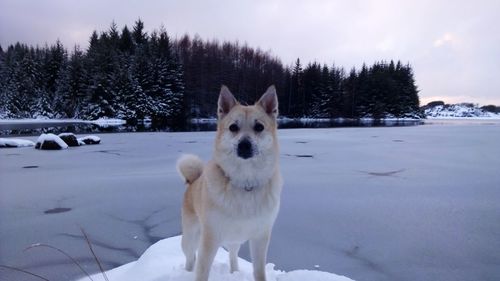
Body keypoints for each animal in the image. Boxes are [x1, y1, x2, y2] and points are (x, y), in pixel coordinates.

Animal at [178, 85, 284, 280]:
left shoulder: (261, 237)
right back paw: (186, 272)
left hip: (234, 239)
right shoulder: (210, 238)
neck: (245, 182)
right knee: (190, 258)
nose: (244, 145)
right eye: (233, 127)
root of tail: (193, 180)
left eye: (259, 127)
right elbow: (201, 271)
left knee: (233, 255)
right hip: (191, 237)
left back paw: (234, 272)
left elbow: (259, 271)